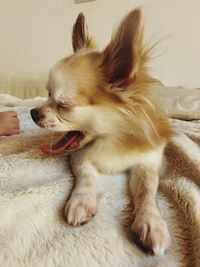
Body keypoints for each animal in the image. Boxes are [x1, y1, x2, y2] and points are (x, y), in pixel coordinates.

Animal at [30, 7, 171, 255]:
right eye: (46, 95)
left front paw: (151, 222)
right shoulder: (79, 156)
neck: (113, 138)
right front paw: (82, 201)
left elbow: (147, 190)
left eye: (64, 105)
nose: (33, 113)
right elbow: (86, 176)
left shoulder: (147, 162)